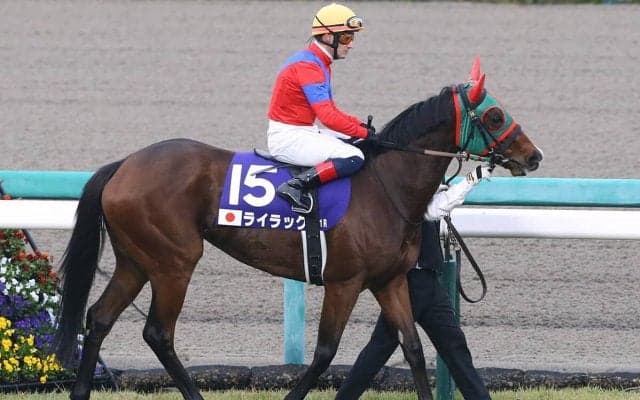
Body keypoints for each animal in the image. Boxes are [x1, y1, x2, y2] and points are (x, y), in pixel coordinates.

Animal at [53, 58, 542, 400]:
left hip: (136, 260)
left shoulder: (389, 281)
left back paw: (81, 390)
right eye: (495, 116)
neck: (386, 187)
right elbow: (325, 352)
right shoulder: (344, 282)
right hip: (175, 262)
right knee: (158, 332)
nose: (533, 156)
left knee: (98, 318)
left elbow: (413, 347)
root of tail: (124, 165)